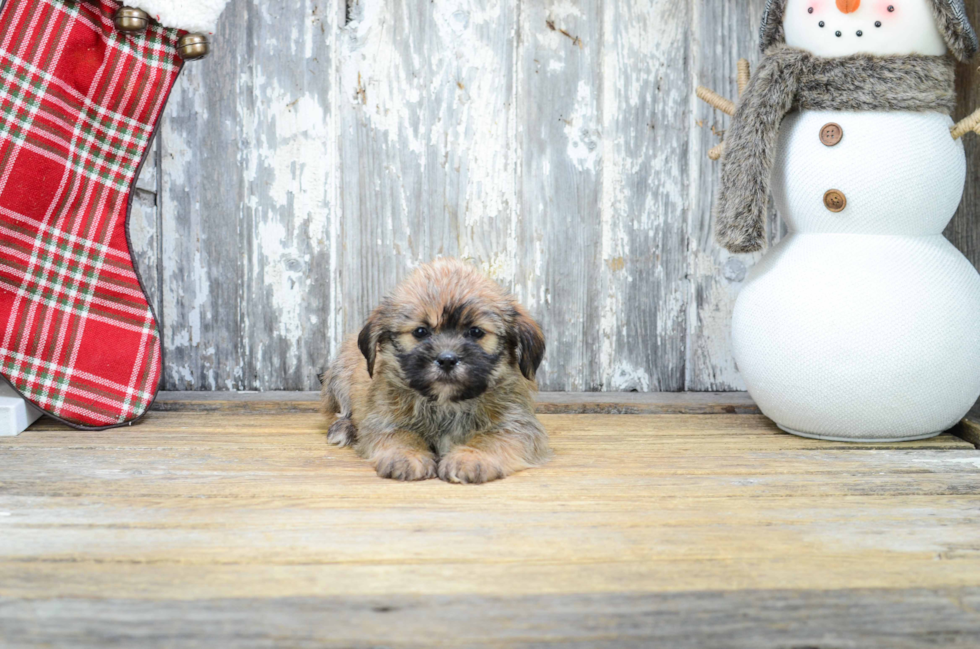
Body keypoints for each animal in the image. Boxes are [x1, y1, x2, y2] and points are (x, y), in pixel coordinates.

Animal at [322, 256, 552, 480]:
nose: (447, 360)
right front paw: (407, 455)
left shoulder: (517, 425)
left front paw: (471, 457)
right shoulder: (383, 419)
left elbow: (491, 439)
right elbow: (401, 434)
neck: (447, 404)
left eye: (476, 332)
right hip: (341, 373)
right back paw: (345, 428)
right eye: (420, 331)